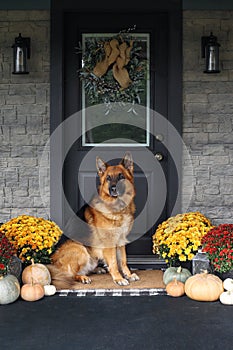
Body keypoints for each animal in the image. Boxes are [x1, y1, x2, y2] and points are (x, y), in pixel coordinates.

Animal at [47, 152, 138, 288]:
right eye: (108, 178)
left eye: (121, 176)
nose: (113, 189)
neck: (118, 208)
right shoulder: (110, 243)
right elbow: (114, 263)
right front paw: (118, 278)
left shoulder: (121, 240)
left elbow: (123, 261)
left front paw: (128, 274)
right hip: (80, 249)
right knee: (70, 275)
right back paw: (82, 277)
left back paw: (97, 269)